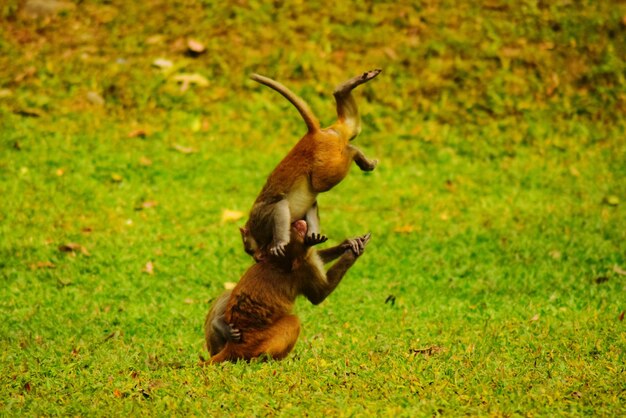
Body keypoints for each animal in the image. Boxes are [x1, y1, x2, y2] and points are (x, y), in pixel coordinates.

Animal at [205, 220, 370, 360]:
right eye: (293, 227)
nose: (299, 222)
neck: (279, 259)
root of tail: (232, 347)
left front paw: (346, 245)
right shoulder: (304, 267)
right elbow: (319, 296)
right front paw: (352, 253)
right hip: (257, 342)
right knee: (293, 321)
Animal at [240, 70, 380, 260]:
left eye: (247, 248)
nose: (256, 257)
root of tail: (314, 134)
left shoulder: (259, 217)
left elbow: (279, 206)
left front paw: (279, 243)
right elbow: (311, 206)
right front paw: (312, 238)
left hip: (325, 161)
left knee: (323, 181)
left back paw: (354, 151)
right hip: (332, 142)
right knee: (351, 128)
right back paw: (342, 90)